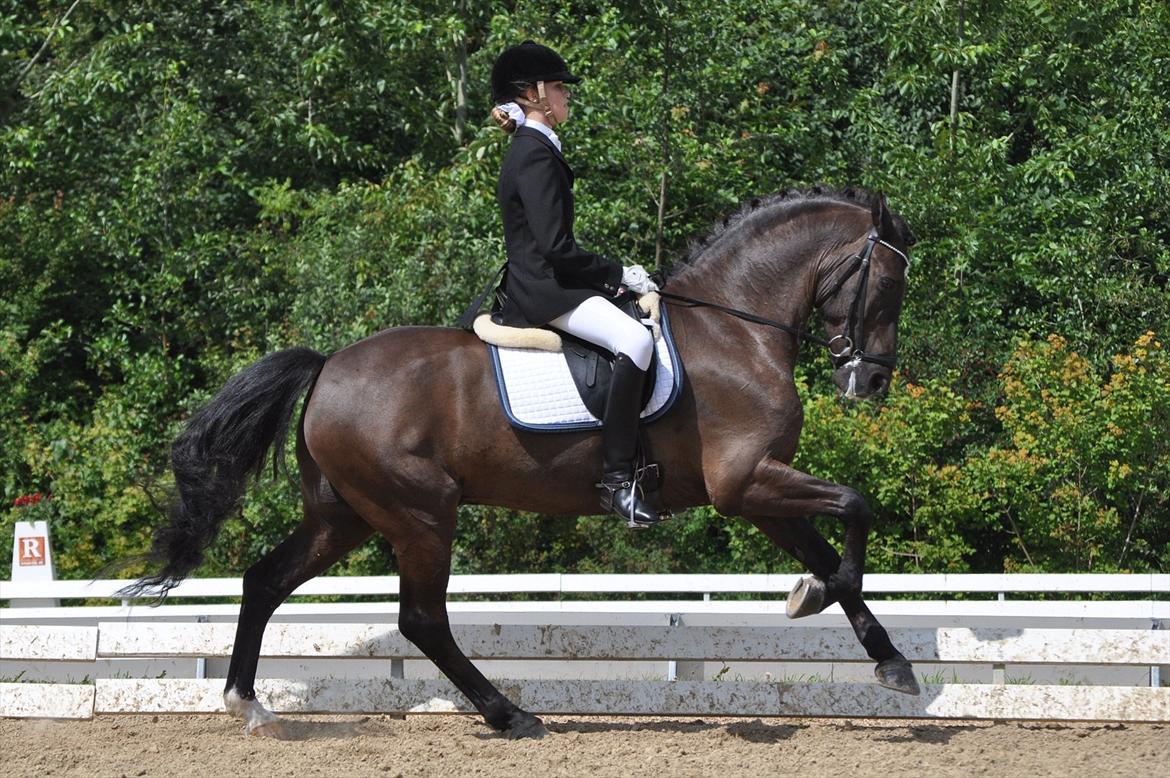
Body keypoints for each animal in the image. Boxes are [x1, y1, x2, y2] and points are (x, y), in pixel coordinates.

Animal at [123, 187, 917, 734]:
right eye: (890, 283)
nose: (873, 382)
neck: (735, 329)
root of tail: (326, 370)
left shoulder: (757, 489)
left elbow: (829, 546)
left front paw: (888, 657)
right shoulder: (746, 481)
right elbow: (854, 512)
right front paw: (815, 600)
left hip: (343, 516)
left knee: (265, 581)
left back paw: (247, 704)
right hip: (420, 513)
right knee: (422, 619)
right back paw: (510, 715)